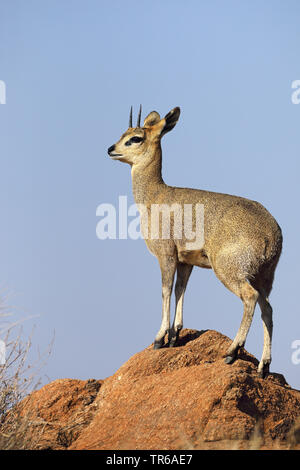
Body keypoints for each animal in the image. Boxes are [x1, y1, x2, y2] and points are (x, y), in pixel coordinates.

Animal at [108, 105, 284, 378]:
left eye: (135, 138)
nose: (110, 149)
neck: (155, 197)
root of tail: (271, 234)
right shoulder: (186, 261)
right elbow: (181, 290)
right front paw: (174, 336)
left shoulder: (166, 254)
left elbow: (165, 290)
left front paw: (159, 338)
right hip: (264, 276)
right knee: (268, 309)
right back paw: (264, 366)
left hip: (229, 271)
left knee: (250, 298)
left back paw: (232, 352)